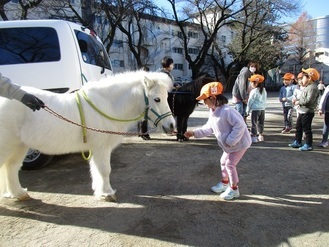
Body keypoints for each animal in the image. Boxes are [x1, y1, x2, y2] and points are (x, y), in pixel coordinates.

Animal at [0, 70, 176, 202]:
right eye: (157, 99)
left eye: (167, 97)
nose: (172, 126)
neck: (108, 105)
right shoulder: (101, 147)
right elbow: (105, 170)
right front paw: (108, 194)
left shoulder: (97, 149)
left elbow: (97, 170)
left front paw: (100, 191)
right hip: (8, 146)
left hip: (19, 146)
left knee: (11, 167)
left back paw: (19, 193)